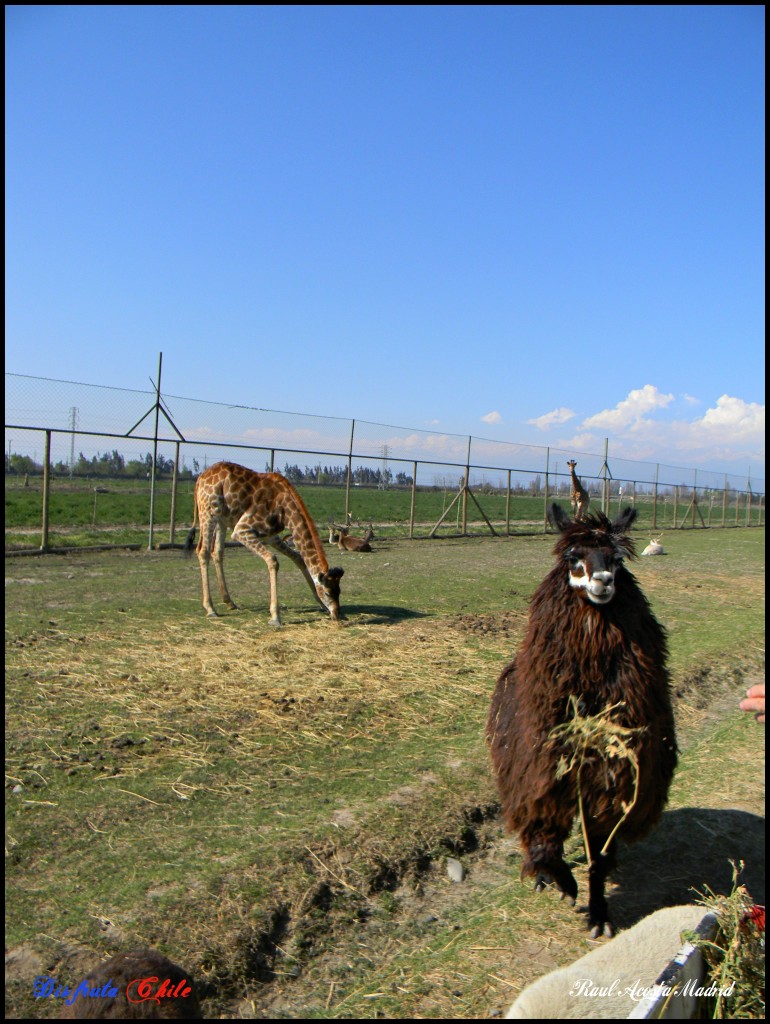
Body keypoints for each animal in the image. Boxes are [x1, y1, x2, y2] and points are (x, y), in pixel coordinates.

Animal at [186, 462, 341, 622]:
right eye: (328, 592)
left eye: (339, 591)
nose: (337, 614)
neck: (285, 509)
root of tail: (199, 479)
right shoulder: (241, 530)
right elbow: (272, 560)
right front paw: (275, 616)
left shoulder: (269, 535)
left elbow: (298, 558)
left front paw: (321, 605)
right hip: (208, 512)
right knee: (203, 551)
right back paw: (210, 608)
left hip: (222, 519)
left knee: (217, 552)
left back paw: (229, 602)